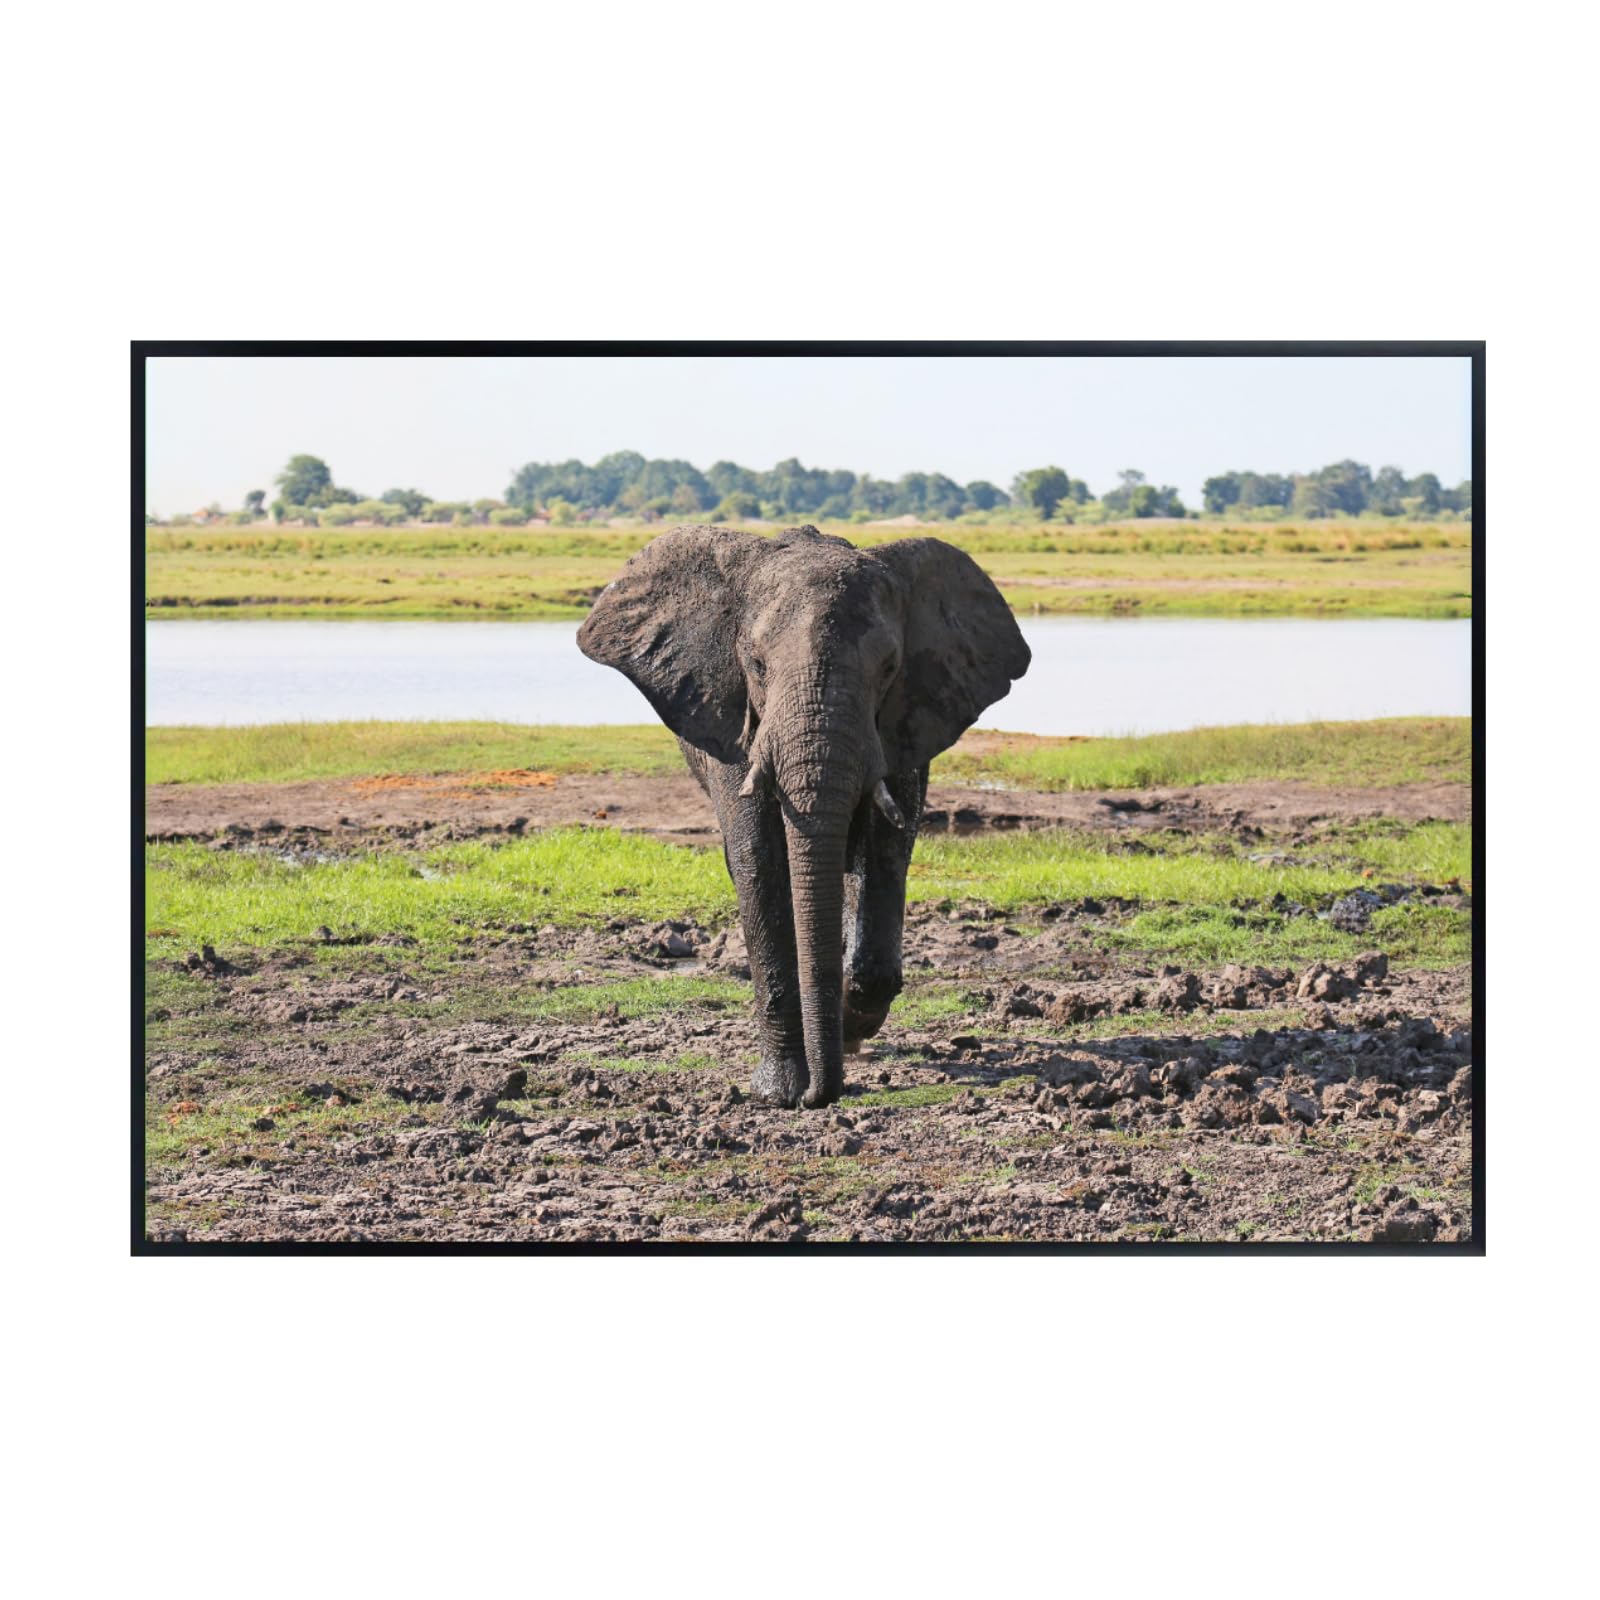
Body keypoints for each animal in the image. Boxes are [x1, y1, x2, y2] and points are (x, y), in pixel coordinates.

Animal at [577, 524, 1029, 1109]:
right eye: (757, 666)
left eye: (889, 668)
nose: (822, 1094)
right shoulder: (736, 718)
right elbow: (758, 862)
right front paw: (781, 1092)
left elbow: (886, 850)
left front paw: (847, 1030)